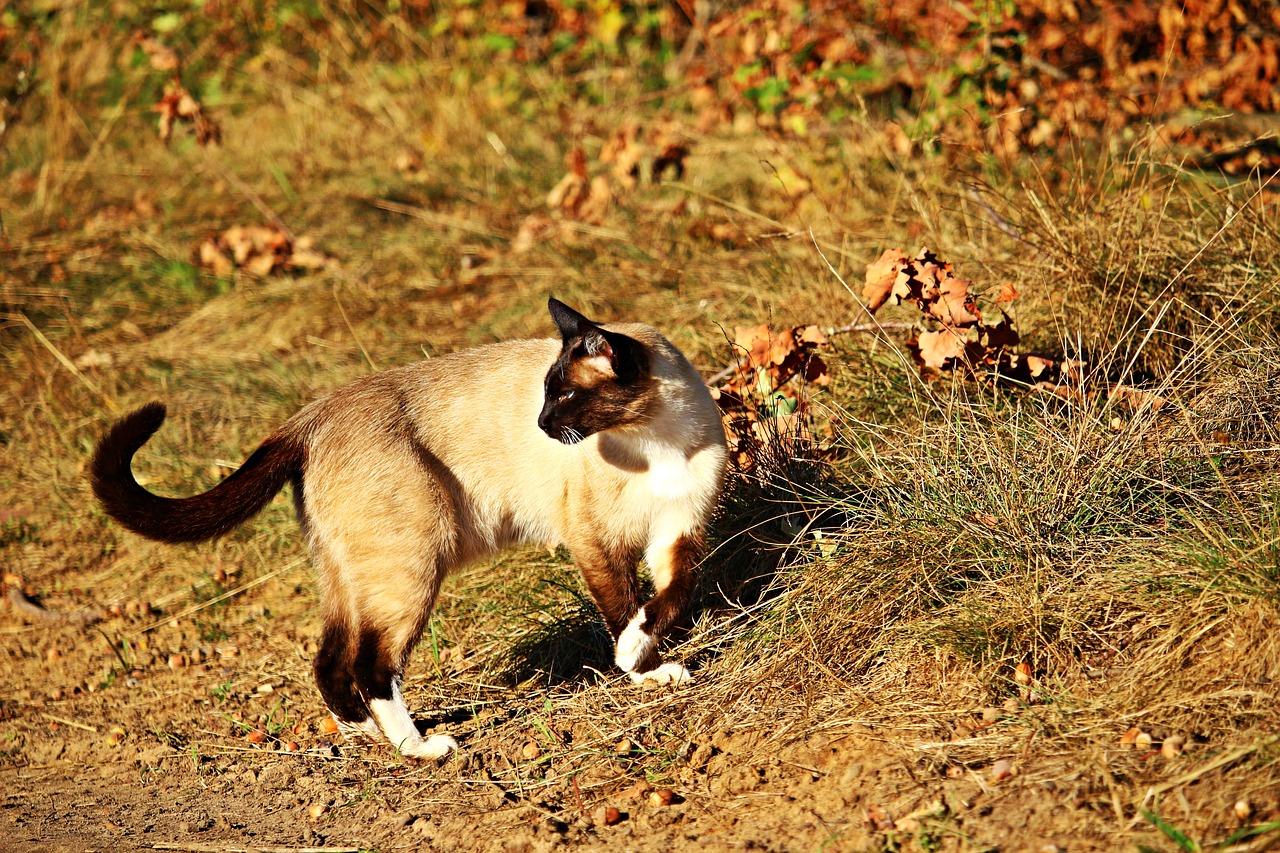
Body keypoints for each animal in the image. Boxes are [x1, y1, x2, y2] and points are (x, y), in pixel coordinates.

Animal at [87, 298, 732, 758]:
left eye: (565, 394)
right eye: (548, 395)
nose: (543, 425)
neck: (656, 441)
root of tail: (309, 415)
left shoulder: (678, 536)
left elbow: (671, 598)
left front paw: (654, 663)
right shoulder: (596, 541)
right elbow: (625, 610)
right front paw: (639, 668)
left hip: (353, 577)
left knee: (329, 661)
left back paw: (368, 735)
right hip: (414, 567)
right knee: (370, 665)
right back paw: (420, 747)